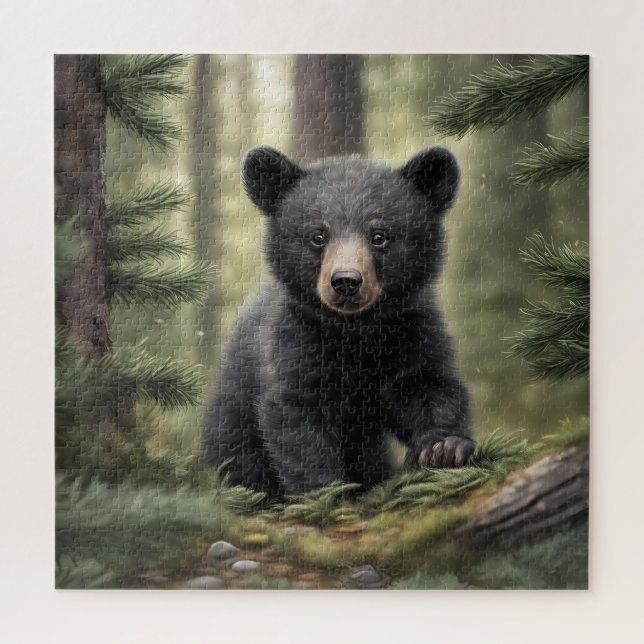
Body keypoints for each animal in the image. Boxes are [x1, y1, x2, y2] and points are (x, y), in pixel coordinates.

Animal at [202, 145, 475, 496]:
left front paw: (444, 448)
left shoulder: (412, 330)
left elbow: (427, 386)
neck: (354, 331)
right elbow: (298, 419)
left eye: (379, 235)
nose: (346, 281)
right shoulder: (294, 343)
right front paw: (326, 491)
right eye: (318, 235)